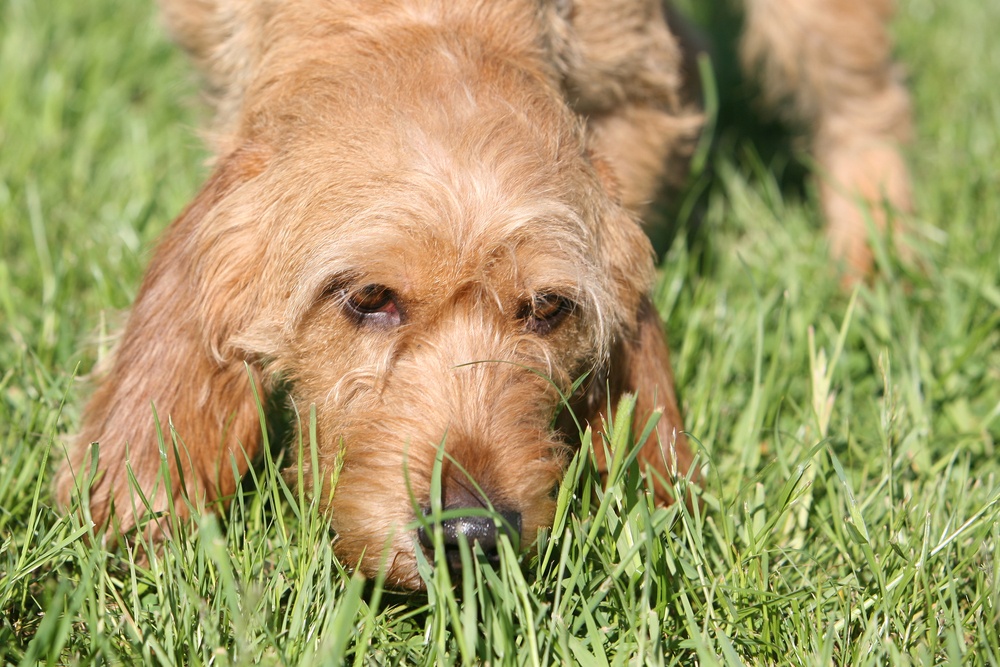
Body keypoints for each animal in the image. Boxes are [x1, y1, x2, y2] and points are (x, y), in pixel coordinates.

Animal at [56, 0, 916, 588]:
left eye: (548, 307)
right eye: (370, 297)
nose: (470, 533)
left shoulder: (633, 89)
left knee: (862, 95)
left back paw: (876, 264)